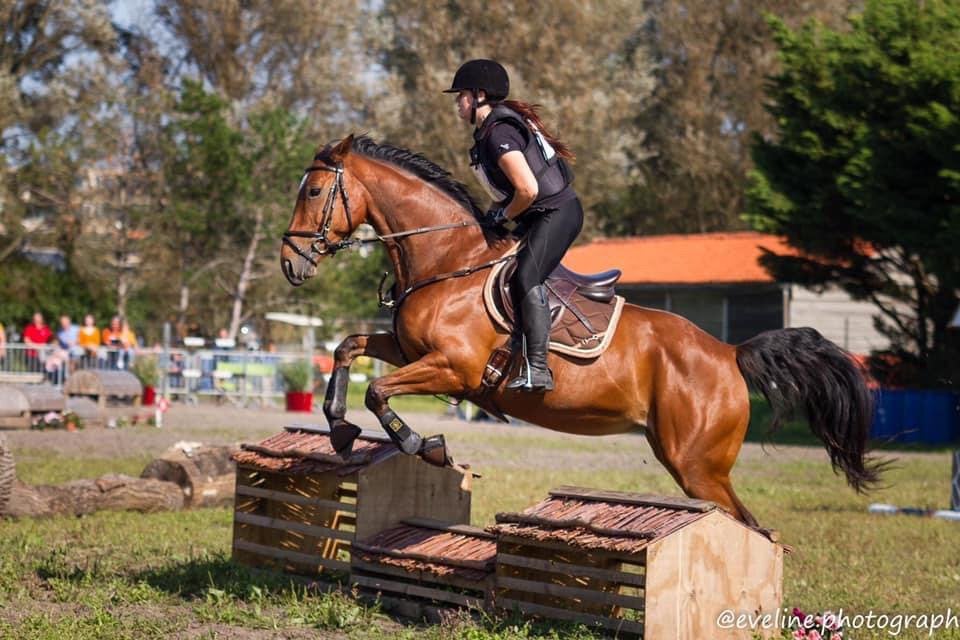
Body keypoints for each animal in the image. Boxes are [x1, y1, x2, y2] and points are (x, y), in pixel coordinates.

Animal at [280, 134, 882, 527]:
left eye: (312, 192)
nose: (290, 263)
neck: (448, 259)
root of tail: (730, 352)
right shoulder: (411, 351)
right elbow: (348, 348)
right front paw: (340, 429)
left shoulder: (453, 368)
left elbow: (379, 390)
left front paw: (424, 445)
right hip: (685, 460)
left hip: (699, 467)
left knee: (753, 528)